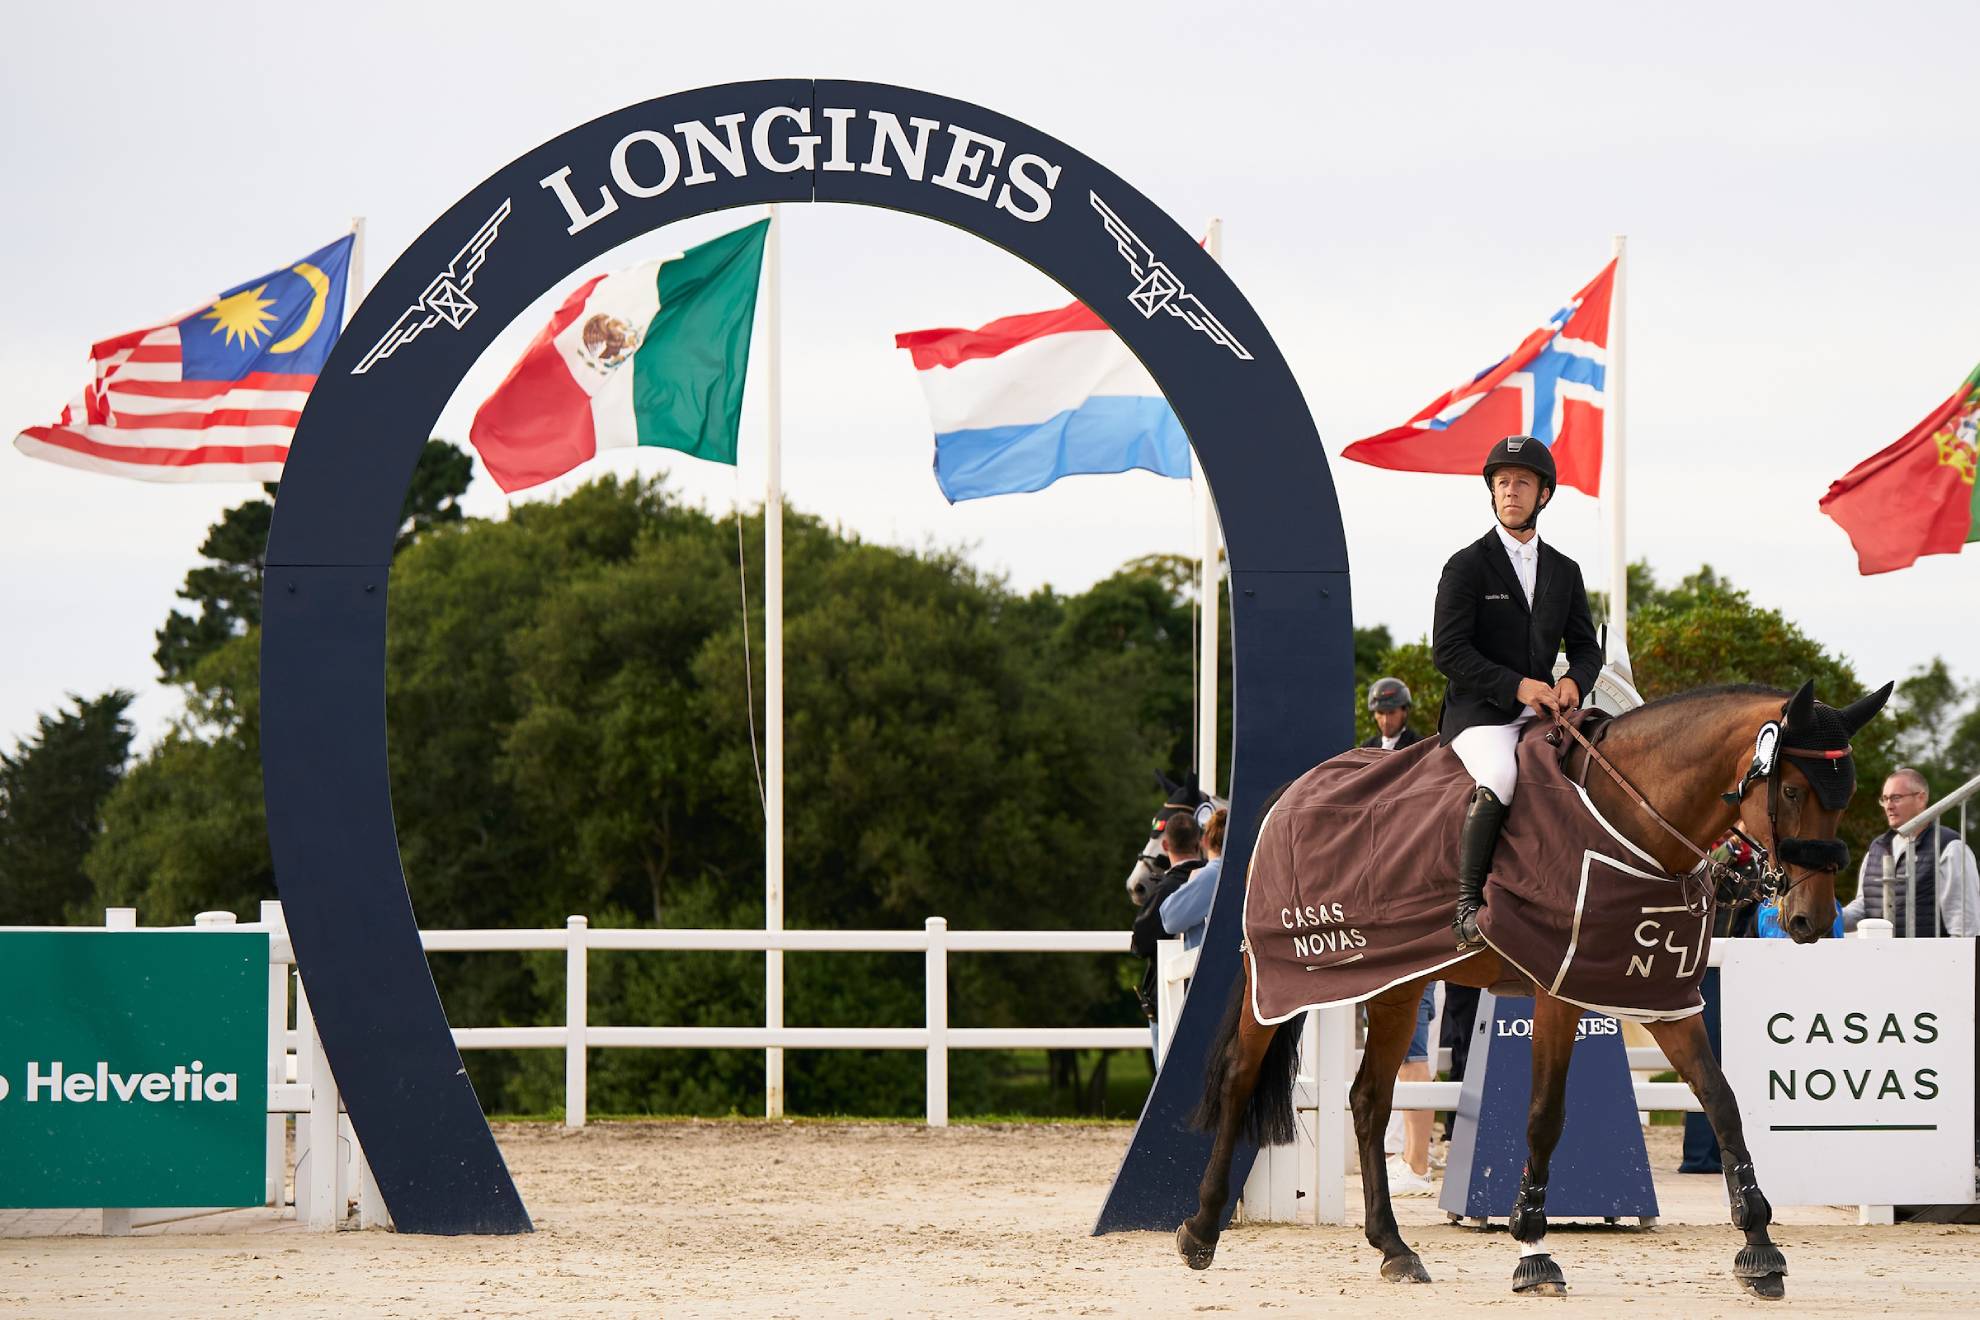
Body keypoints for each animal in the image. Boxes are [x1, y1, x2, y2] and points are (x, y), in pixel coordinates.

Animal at [1172, 680, 1884, 1298]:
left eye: (1844, 795)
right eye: (1790, 789)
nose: (1810, 920)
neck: (1628, 823)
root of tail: (1290, 793)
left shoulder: (1658, 994)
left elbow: (1721, 1100)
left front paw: (1761, 1249)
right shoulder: (1558, 992)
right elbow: (1544, 1116)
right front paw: (1533, 1250)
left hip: (1398, 986)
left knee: (1369, 1101)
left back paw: (1394, 1248)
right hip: (1282, 978)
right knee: (1240, 1077)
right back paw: (1200, 1231)